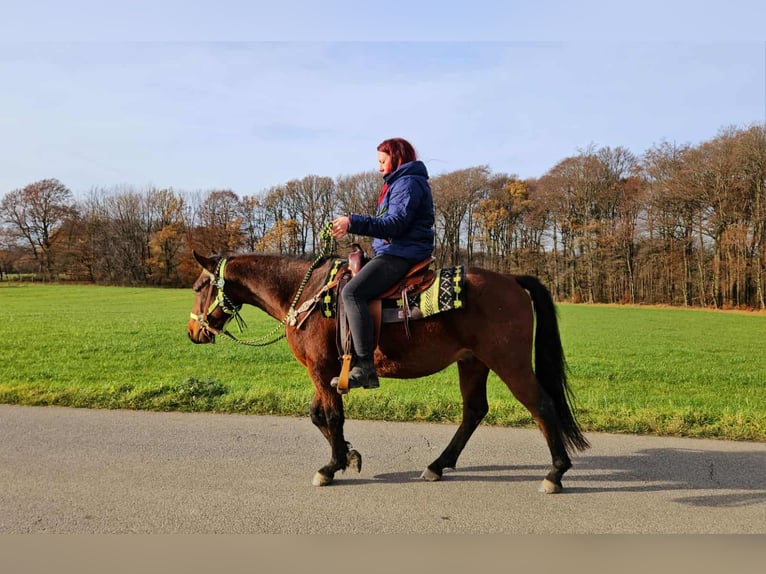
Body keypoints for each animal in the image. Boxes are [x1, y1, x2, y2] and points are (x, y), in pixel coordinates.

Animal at [186, 249, 590, 492]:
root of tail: (512, 280)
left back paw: (555, 473)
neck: (306, 294)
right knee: (474, 411)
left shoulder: (320, 369)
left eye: (198, 286)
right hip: (473, 362)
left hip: (509, 363)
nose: (192, 332)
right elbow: (318, 415)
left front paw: (332, 466)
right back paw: (438, 465)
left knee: (542, 406)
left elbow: (332, 416)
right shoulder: (324, 372)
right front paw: (349, 455)